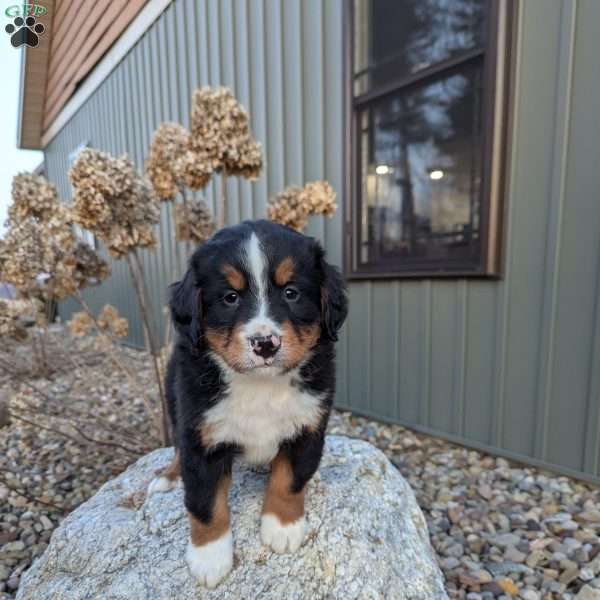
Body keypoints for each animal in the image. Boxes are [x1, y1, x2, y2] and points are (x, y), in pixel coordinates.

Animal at [147, 219, 350, 584]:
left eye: (291, 292)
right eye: (230, 298)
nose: (265, 343)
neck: (261, 387)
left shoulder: (308, 427)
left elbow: (289, 480)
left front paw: (283, 527)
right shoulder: (203, 436)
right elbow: (205, 502)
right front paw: (210, 557)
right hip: (174, 400)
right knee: (178, 449)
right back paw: (167, 477)